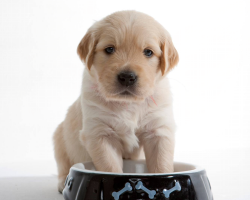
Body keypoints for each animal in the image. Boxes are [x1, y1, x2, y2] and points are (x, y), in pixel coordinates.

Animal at [52, 10, 179, 192]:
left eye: (148, 52)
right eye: (109, 49)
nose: (127, 77)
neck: (129, 104)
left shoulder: (158, 131)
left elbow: (161, 164)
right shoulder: (100, 134)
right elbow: (110, 167)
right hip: (60, 140)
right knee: (63, 165)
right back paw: (63, 182)